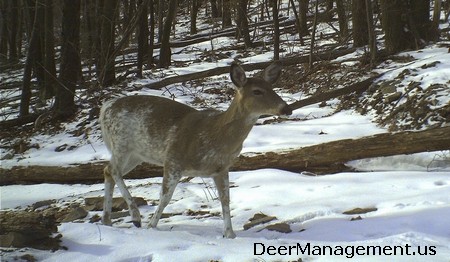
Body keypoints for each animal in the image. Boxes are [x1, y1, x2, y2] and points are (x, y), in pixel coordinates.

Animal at [99, 62, 292, 239]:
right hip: (122, 143)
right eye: (257, 91)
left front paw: (229, 234)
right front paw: (151, 226)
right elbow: (165, 197)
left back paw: (107, 220)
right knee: (113, 170)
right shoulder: (173, 158)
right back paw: (135, 217)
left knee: (107, 170)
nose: (287, 108)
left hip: (136, 154)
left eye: (272, 88)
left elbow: (225, 200)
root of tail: (105, 107)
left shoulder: (221, 169)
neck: (216, 136)